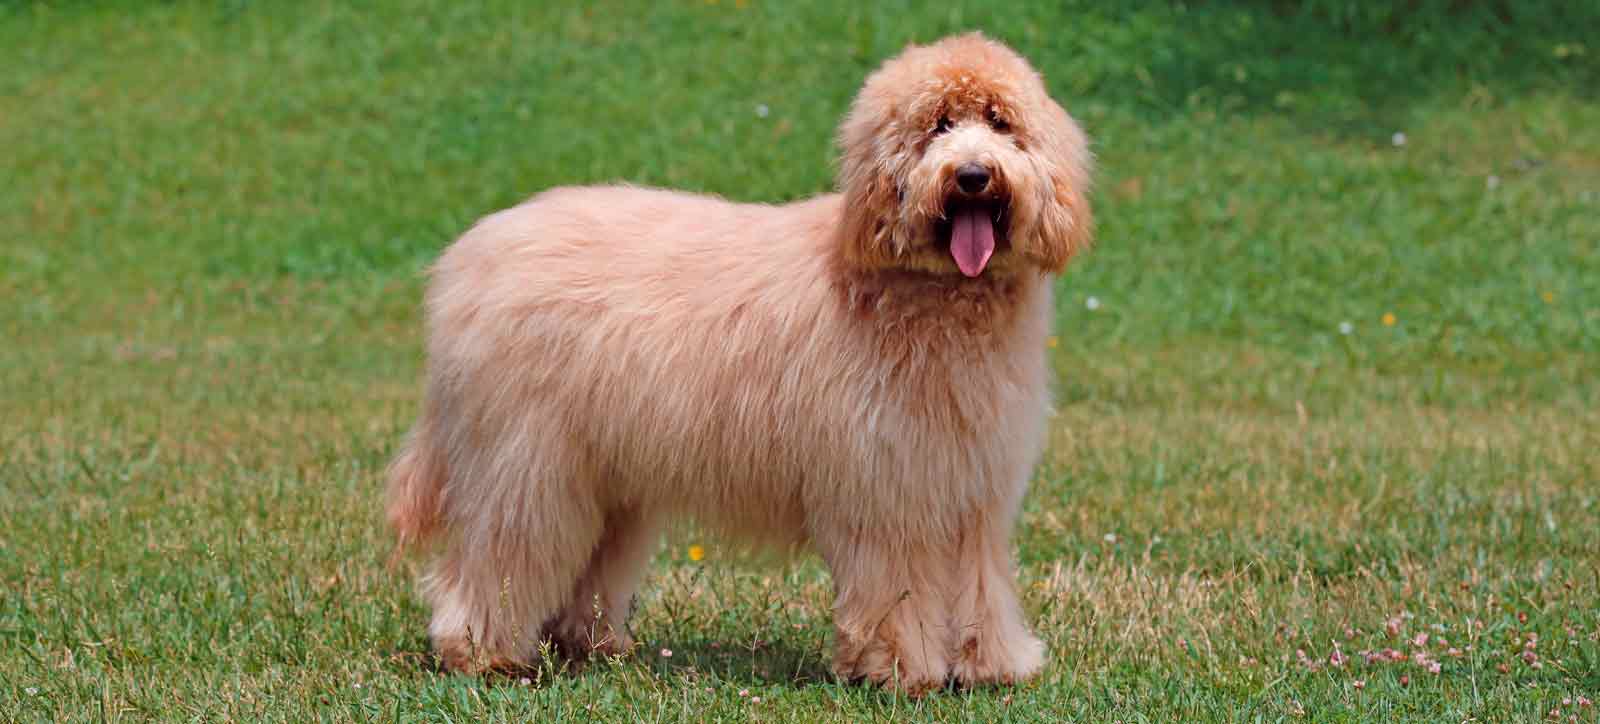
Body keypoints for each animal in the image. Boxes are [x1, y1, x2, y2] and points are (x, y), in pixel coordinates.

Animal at [385, 34, 1088, 695]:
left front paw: (993, 666)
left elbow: (982, 584)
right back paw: (481, 653)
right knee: (497, 559)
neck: (927, 290)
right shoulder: (885, 489)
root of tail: (467, 258)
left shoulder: (974, 492)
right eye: (938, 125)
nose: (972, 175)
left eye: (999, 122)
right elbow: (899, 588)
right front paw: (902, 670)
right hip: (526, 466)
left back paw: (589, 645)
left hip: (603, 476)